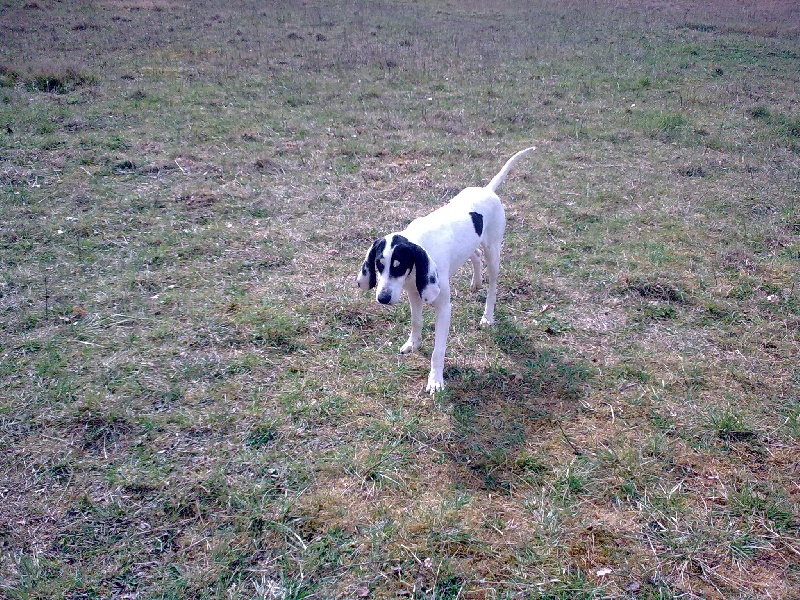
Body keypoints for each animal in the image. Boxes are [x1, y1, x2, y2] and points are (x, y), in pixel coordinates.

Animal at [358, 146, 536, 394]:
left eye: (399, 266)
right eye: (379, 265)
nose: (382, 299)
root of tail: (487, 190)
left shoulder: (444, 308)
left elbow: (438, 350)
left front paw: (435, 380)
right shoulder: (414, 295)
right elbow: (416, 322)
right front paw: (413, 343)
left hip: (493, 252)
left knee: (492, 285)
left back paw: (487, 315)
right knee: (475, 255)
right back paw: (476, 283)